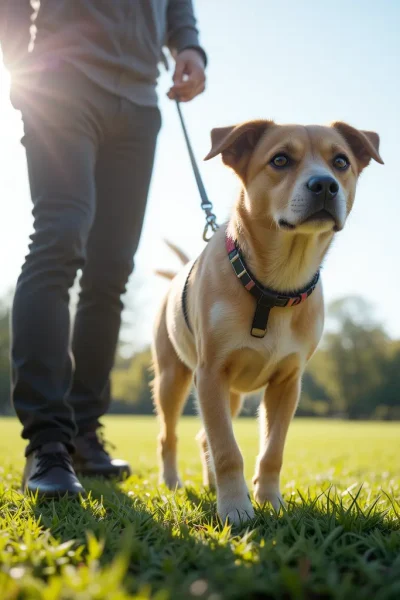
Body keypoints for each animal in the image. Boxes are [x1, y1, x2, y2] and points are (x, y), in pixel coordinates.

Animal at [152, 119, 382, 524]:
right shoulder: (210, 373)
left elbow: (271, 450)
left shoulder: (287, 382)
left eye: (340, 161)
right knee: (172, 435)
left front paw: (270, 501)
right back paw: (173, 483)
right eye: (280, 159)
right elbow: (228, 449)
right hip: (173, 378)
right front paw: (235, 509)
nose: (325, 184)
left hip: (228, 394)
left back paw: (211, 485)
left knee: (204, 436)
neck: (275, 287)